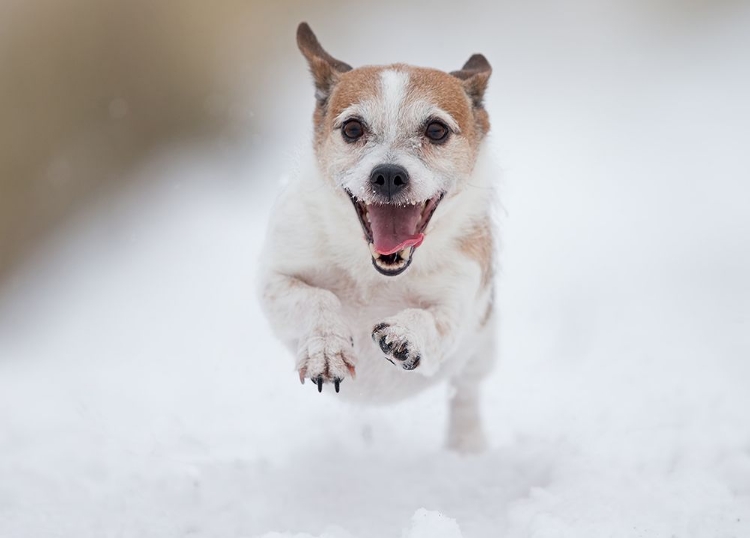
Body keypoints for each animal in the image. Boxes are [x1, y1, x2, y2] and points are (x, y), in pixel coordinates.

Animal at [258, 23, 500, 450]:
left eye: (436, 129)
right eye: (353, 128)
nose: (388, 174)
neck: (371, 273)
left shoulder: (459, 304)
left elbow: (434, 320)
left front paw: (405, 333)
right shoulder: (276, 280)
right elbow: (316, 298)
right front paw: (327, 349)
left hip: (482, 350)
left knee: (466, 392)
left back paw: (466, 443)